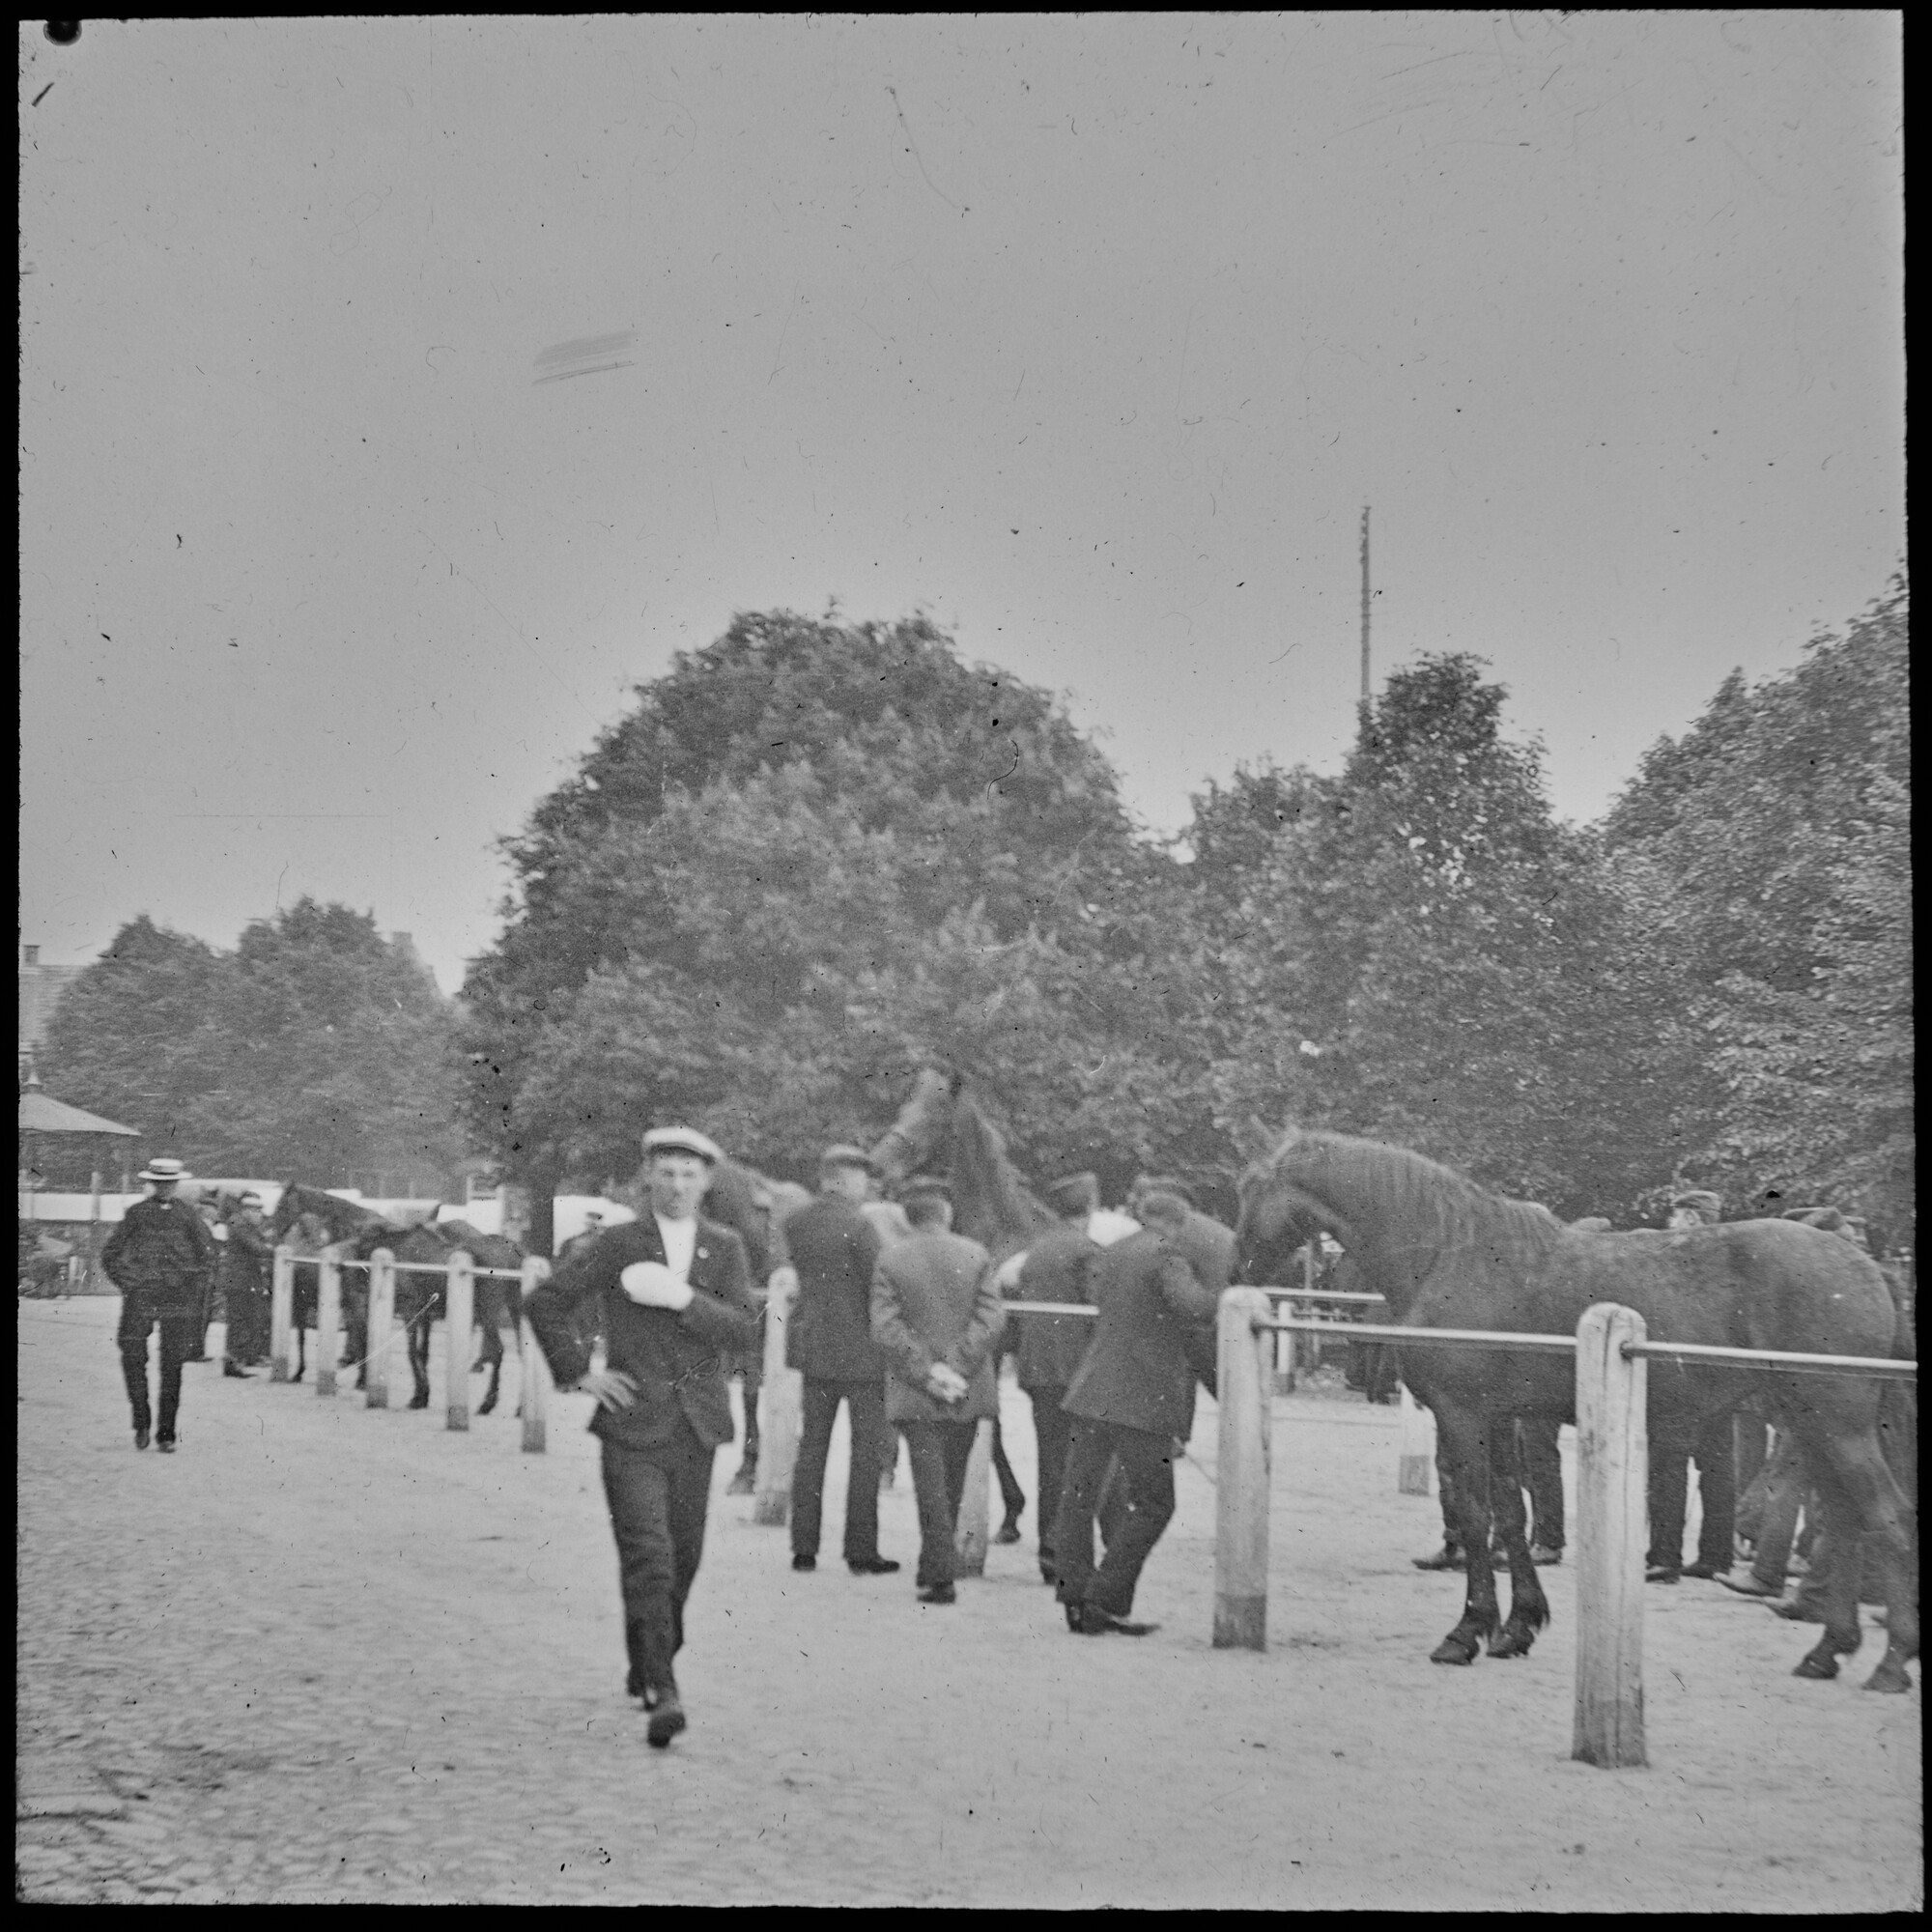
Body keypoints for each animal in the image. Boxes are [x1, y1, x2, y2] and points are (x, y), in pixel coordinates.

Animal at [1236, 1128, 1917, 1692]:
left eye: (1249, 1189)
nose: (1237, 1266)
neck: (1451, 1254)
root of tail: (1865, 1267)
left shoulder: (1462, 1415)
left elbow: (1476, 1514)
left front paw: (1467, 1633)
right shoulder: (1500, 1418)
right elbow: (1511, 1516)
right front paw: (1519, 1627)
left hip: (1837, 1426)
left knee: (1885, 1519)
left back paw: (1889, 1663)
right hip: (1810, 1426)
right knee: (1848, 1523)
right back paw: (1828, 1651)